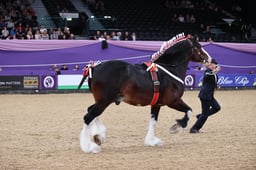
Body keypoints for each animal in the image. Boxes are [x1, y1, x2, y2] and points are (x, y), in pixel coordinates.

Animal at [78, 32, 210, 153]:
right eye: (198, 46)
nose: (210, 59)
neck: (169, 69)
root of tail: (93, 67)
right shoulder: (173, 101)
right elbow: (189, 111)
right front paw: (176, 127)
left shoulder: (157, 104)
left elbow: (153, 121)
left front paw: (151, 141)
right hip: (104, 101)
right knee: (88, 116)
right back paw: (89, 147)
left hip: (102, 101)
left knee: (91, 111)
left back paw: (98, 136)